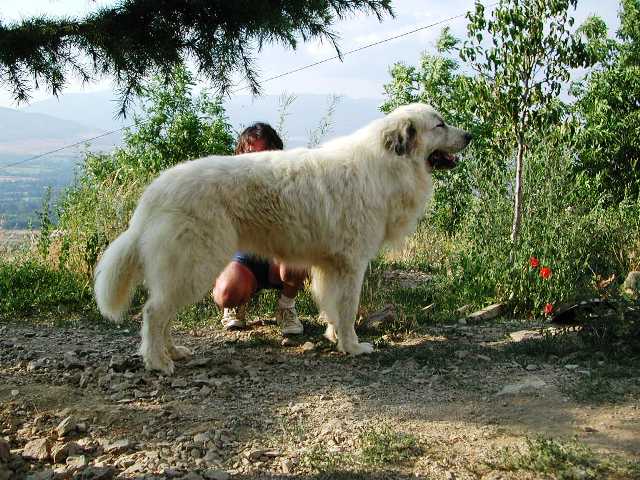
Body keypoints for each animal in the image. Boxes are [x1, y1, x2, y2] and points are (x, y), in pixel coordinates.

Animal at [97, 104, 472, 376]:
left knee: (164, 316)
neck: (385, 166)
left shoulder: (329, 266)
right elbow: (348, 308)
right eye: (439, 125)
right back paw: (158, 362)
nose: (470, 134)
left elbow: (333, 307)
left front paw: (335, 337)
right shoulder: (352, 265)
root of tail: (154, 193)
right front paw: (353, 347)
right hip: (193, 265)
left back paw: (174, 351)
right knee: (154, 313)